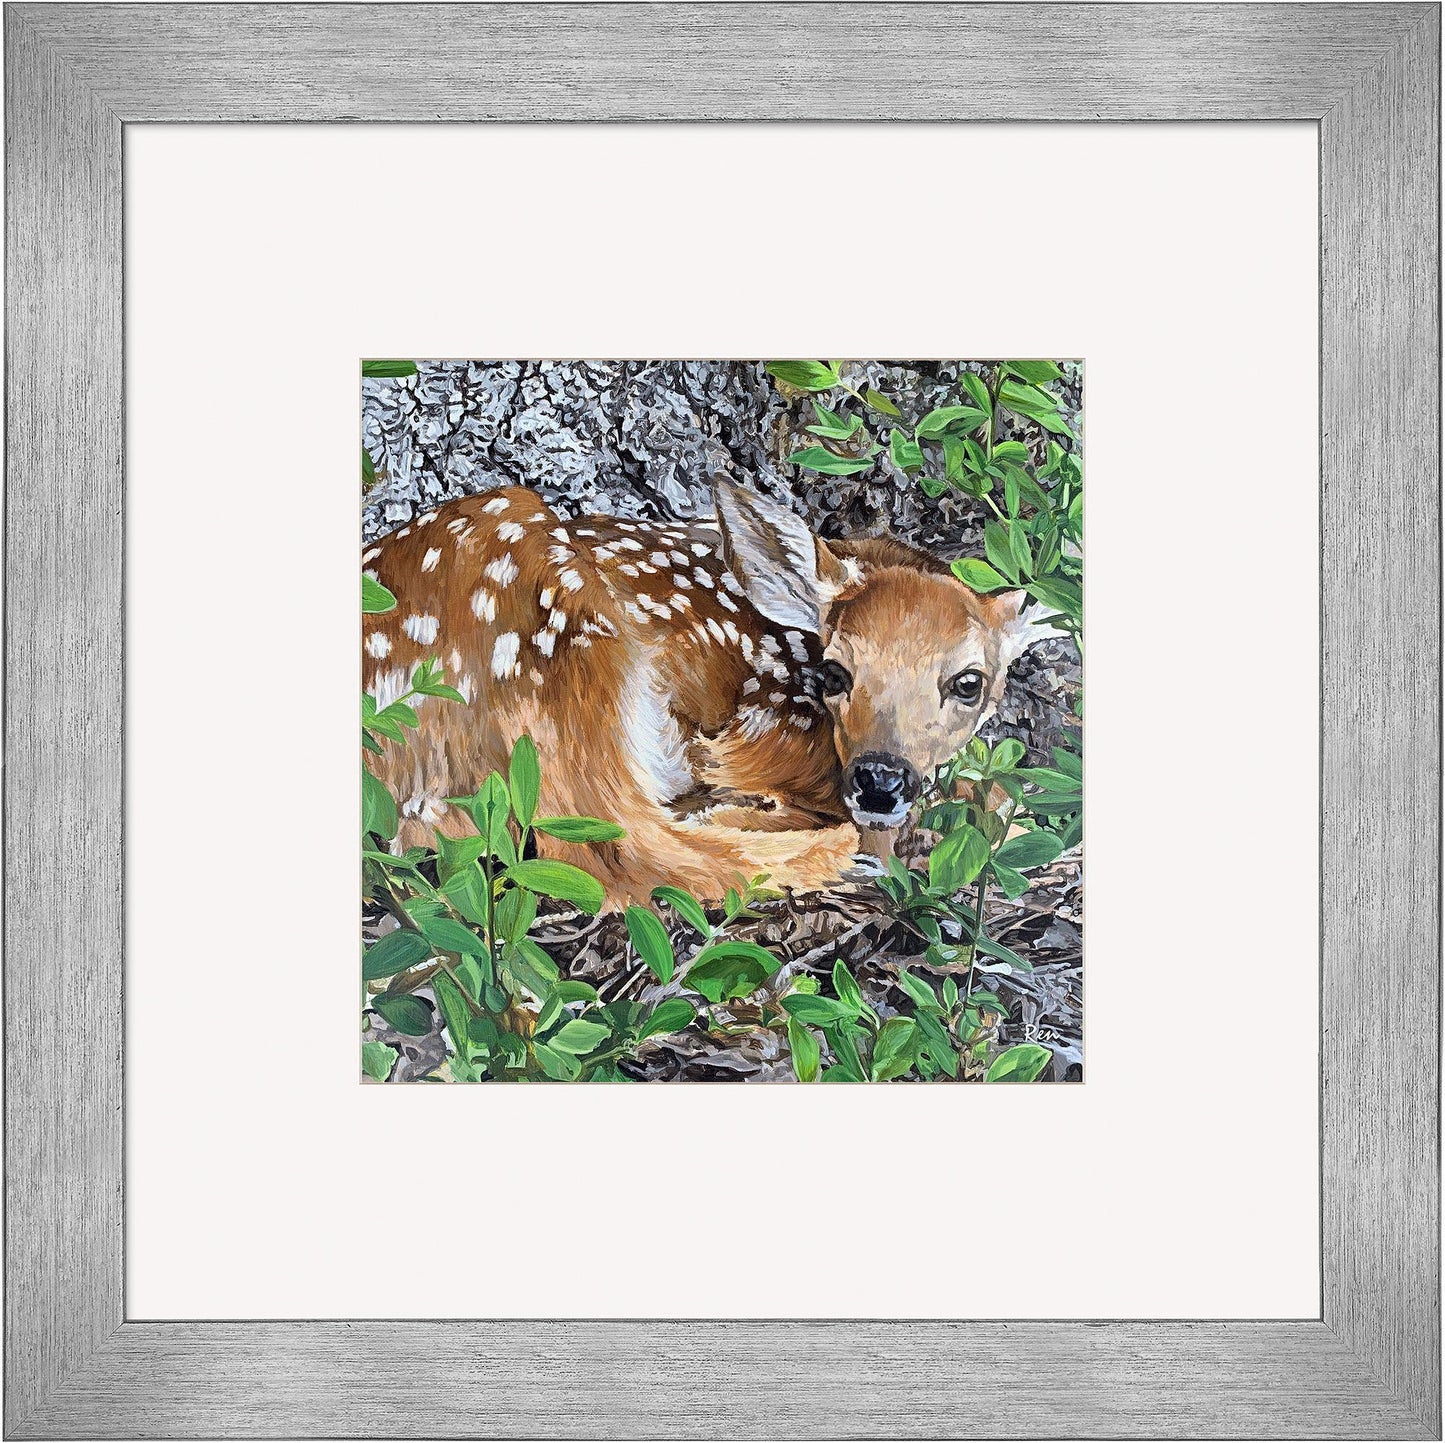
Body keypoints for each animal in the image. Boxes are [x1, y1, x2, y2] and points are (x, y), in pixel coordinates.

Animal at [362, 479, 1061, 907]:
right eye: (836, 673)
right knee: (619, 852)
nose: (879, 780)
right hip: (557, 646)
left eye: (968, 683)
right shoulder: (758, 728)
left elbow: (997, 792)